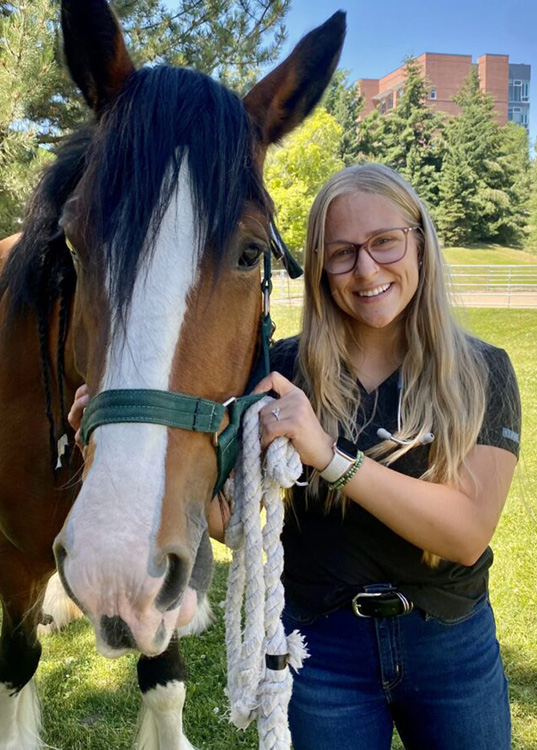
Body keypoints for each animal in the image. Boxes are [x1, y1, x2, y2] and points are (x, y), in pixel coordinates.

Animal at [0, 1, 345, 747]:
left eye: (250, 253)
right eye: (74, 244)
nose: (113, 566)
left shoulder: (169, 569)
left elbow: (163, 679)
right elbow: (15, 668)